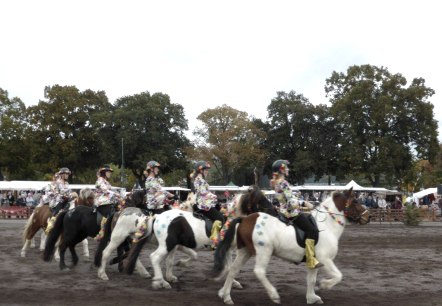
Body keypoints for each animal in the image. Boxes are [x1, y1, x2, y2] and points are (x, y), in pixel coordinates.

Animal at [122, 186, 278, 290]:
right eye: (260, 200)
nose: (275, 211)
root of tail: (157, 216)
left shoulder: (226, 249)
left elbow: (229, 267)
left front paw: (233, 282)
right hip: (167, 244)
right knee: (154, 257)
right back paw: (160, 282)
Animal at [213, 188, 370, 304]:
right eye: (355, 201)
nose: (368, 217)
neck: (327, 225)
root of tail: (246, 219)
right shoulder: (325, 259)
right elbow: (338, 276)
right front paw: (324, 285)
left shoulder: (314, 262)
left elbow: (311, 280)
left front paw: (312, 298)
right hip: (264, 251)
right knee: (259, 272)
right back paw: (274, 295)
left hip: (245, 251)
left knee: (233, 269)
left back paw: (226, 296)